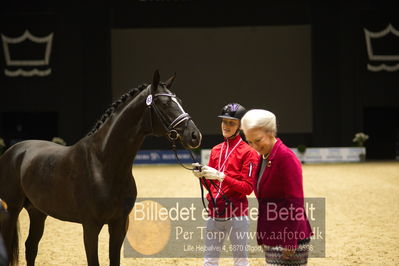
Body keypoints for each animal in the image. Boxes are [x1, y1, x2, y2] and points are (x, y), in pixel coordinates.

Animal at [0, 71, 202, 266]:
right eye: (164, 103)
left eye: (179, 101)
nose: (195, 135)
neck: (103, 164)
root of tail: (14, 151)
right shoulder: (90, 226)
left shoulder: (119, 224)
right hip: (11, 211)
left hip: (38, 212)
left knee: (31, 248)